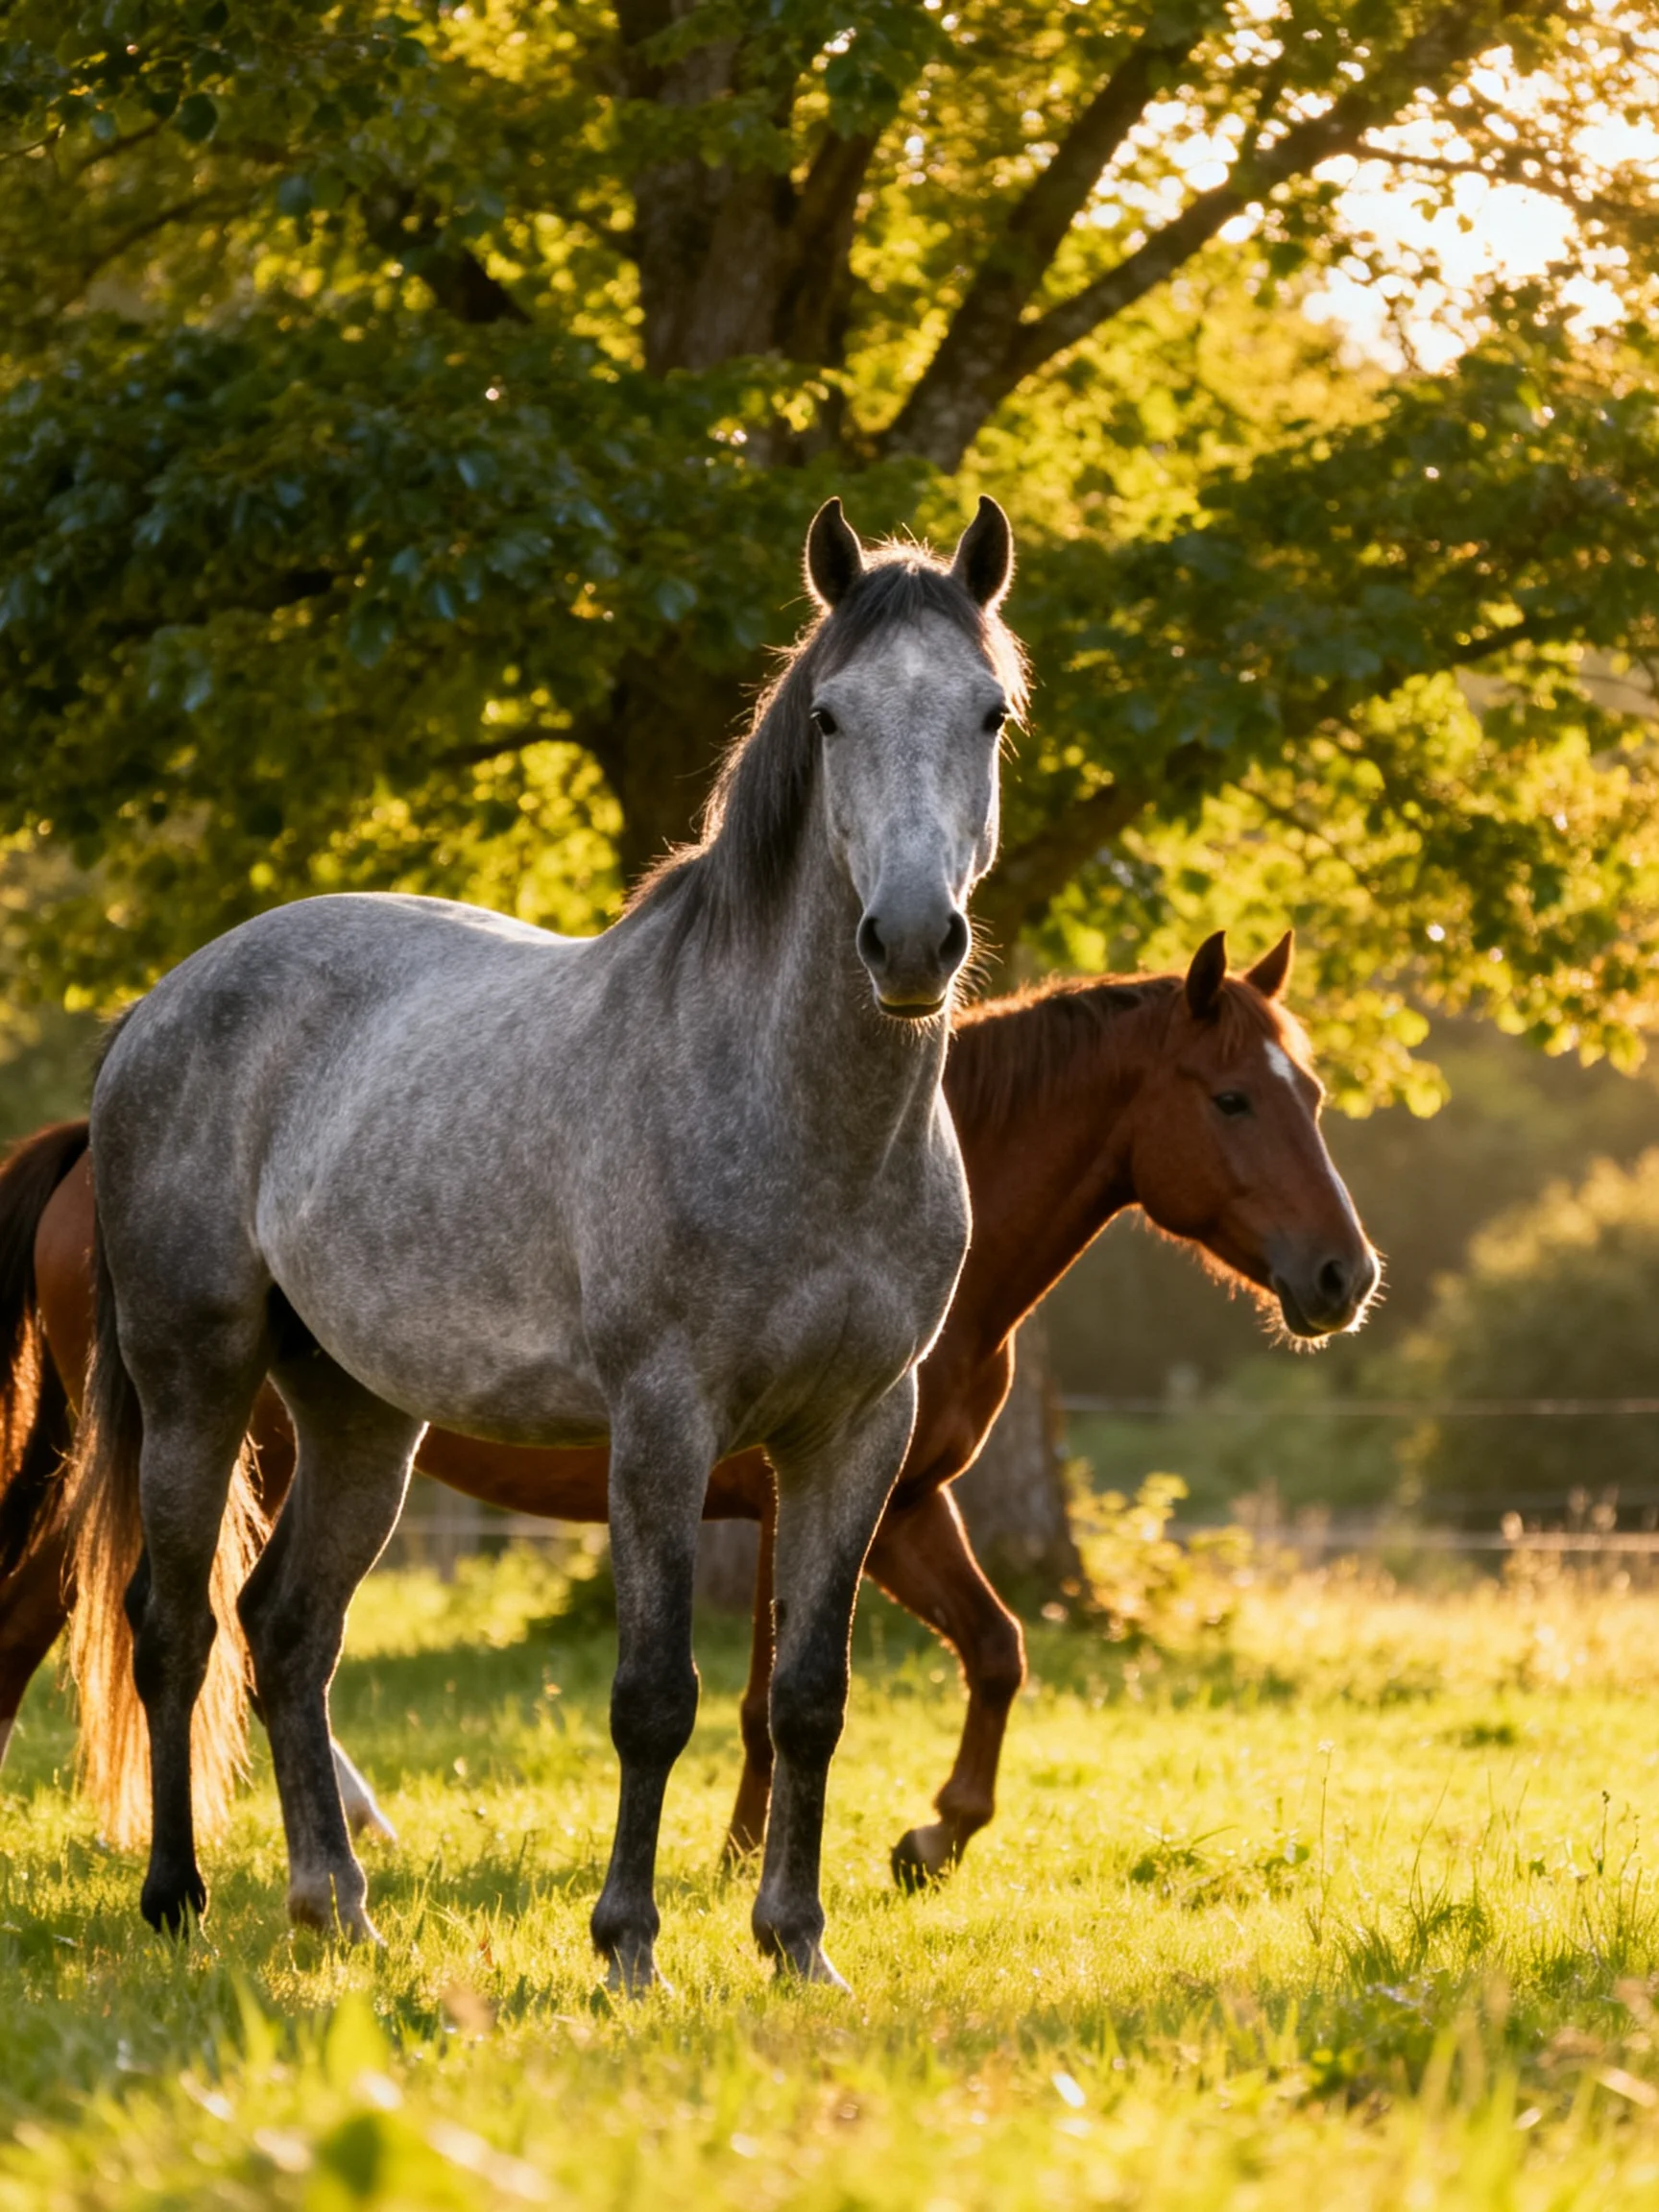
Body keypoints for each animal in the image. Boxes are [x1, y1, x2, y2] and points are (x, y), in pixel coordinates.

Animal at [0, 928, 1377, 1885]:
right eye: (1232, 1098)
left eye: (1309, 1094)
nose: (1343, 1277)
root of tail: (92, 1138)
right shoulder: (788, 1501)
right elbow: (773, 1694)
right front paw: (749, 1855)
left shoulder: (900, 1502)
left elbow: (994, 1651)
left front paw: (930, 1838)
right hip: (212, 1440)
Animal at [58, 496, 1022, 1992]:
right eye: (830, 717)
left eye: (987, 712)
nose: (913, 942)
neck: (795, 1114)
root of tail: (160, 1003)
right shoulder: (665, 1421)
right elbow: (655, 1696)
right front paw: (628, 1947)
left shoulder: (859, 1427)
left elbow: (808, 1697)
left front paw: (796, 1944)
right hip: (194, 1381)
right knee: (173, 1632)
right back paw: (176, 1897)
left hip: (358, 1414)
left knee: (289, 1631)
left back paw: (336, 1904)